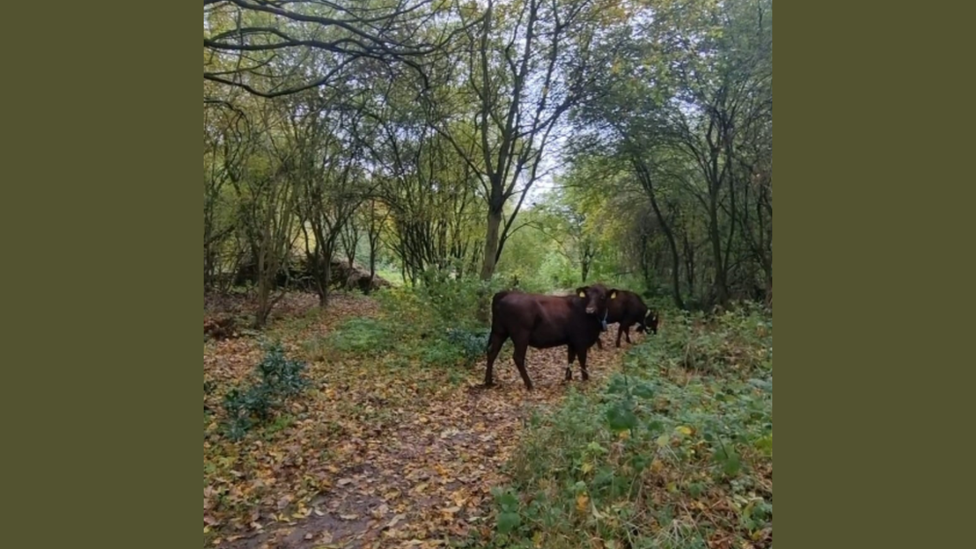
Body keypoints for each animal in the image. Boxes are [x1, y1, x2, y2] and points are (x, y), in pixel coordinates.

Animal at [484, 282, 612, 390]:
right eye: (588, 296)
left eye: (602, 297)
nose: (590, 310)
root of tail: (505, 293)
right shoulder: (581, 341)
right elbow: (582, 360)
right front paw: (585, 379)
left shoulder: (572, 341)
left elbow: (570, 358)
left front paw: (568, 378)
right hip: (521, 335)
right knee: (518, 357)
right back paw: (529, 384)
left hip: (499, 331)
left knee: (492, 352)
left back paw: (488, 381)